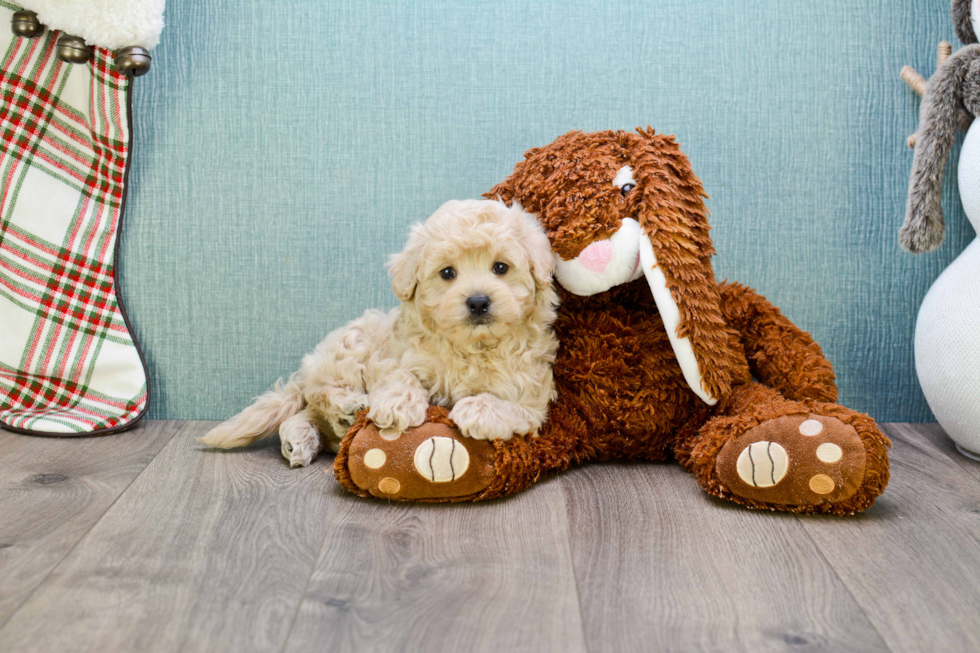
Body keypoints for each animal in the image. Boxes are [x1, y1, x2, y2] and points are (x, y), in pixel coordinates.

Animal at [197, 196, 560, 466]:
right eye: (447, 273)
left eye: (501, 267)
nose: (478, 301)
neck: (471, 347)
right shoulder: (394, 353)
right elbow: (400, 376)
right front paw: (398, 405)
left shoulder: (532, 395)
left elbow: (510, 404)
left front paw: (478, 409)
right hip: (351, 343)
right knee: (318, 394)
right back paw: (346, 408)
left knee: (305, 413)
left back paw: (300, 438)